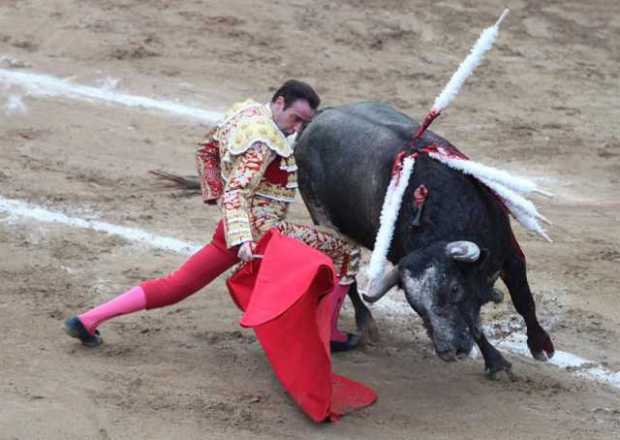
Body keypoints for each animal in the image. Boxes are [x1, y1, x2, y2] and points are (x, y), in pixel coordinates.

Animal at [294, 101, 556, 376]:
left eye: (454, 288)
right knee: (348, 279)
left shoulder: (509, 252)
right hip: (325, 221)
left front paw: (540, 345)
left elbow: (523, 300)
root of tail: (317, 117)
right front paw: (495, 362)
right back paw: (366, 325)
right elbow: (474, 324)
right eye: (414, 304)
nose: (449, 351)